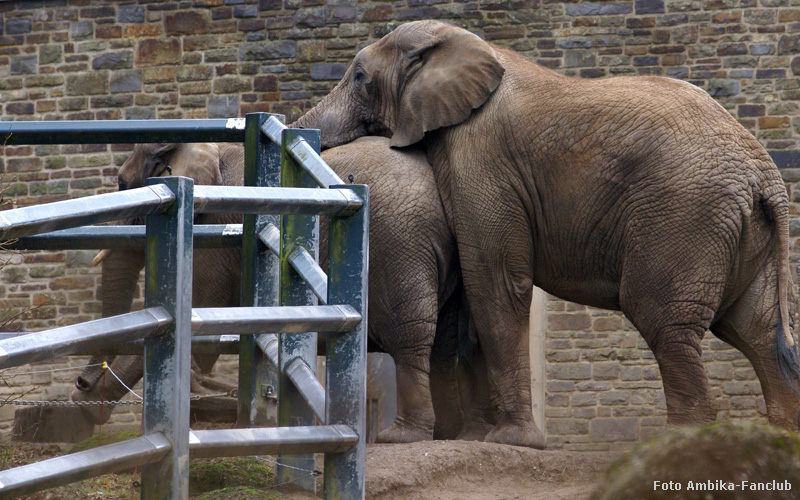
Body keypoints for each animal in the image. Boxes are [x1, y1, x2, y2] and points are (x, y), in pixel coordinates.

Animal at [74, 136, 466, 442]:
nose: (81, 384)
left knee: (411, 339)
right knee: (444, 343)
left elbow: (195, 314)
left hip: (400, 248)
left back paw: (400, 435)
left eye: (123, 184)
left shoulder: (211, 232)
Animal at [294, 19, 800, 450]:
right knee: (755, 329)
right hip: (739, 229)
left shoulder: (482, 157)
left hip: (685, 213)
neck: (468, 44)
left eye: (360, 77)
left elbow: (496, 282)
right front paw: (480, 437)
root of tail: (765, 177)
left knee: (664, 319)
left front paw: (511, 441)